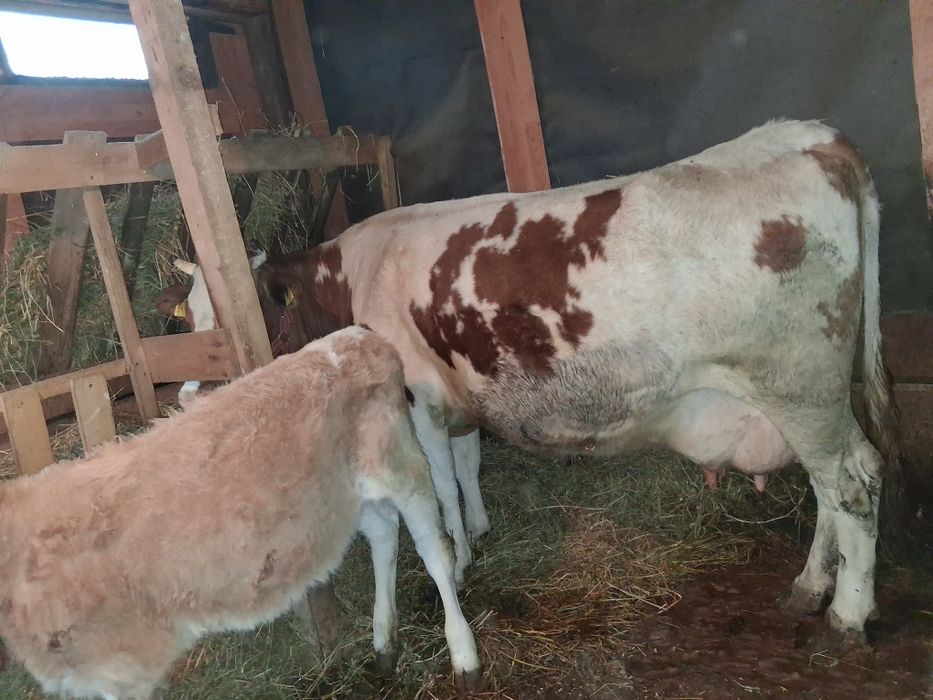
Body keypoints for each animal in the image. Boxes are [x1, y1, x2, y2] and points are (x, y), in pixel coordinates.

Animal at [0, 327, 482, 699]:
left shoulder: (122, 664)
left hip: (402, 462)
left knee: (434, 551)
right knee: (383, 536)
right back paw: (384, 643)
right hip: (348, 493)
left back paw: (464, 654)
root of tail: (357, 337)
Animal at [247, 119, 904, 645]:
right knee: (835, 483)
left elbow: (442, 489)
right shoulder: (461, 397)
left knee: (851, 485)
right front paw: (479, 531)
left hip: (798, 385)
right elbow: (467, 468)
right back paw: (809, 587)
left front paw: (457, 560)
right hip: (811, 398)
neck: (359, 273)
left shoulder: (419, 401)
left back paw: (847, 614)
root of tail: (810, 135)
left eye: (263, 307)